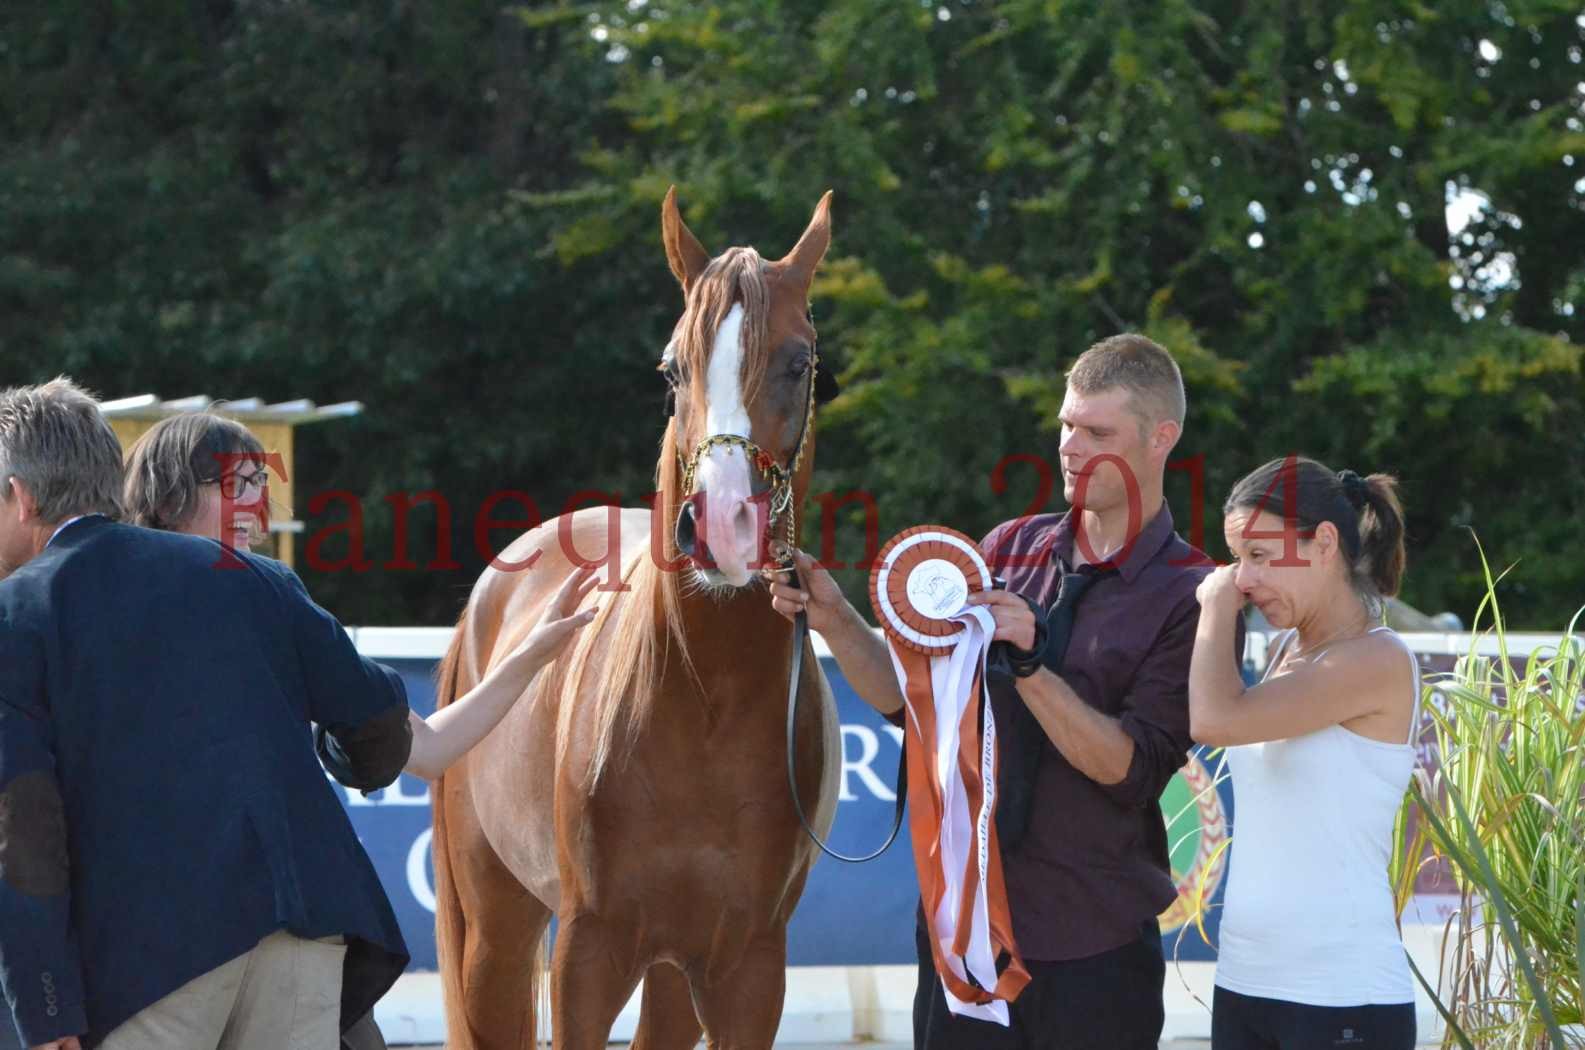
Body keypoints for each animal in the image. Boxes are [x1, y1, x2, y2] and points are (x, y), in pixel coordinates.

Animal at [421, 189, 843, 1050]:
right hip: (498, 935)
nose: (720, 529)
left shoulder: (747, 967)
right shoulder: (589, 952)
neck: (701, 697)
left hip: (672, 968)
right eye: (672, 368)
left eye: (799, 362)